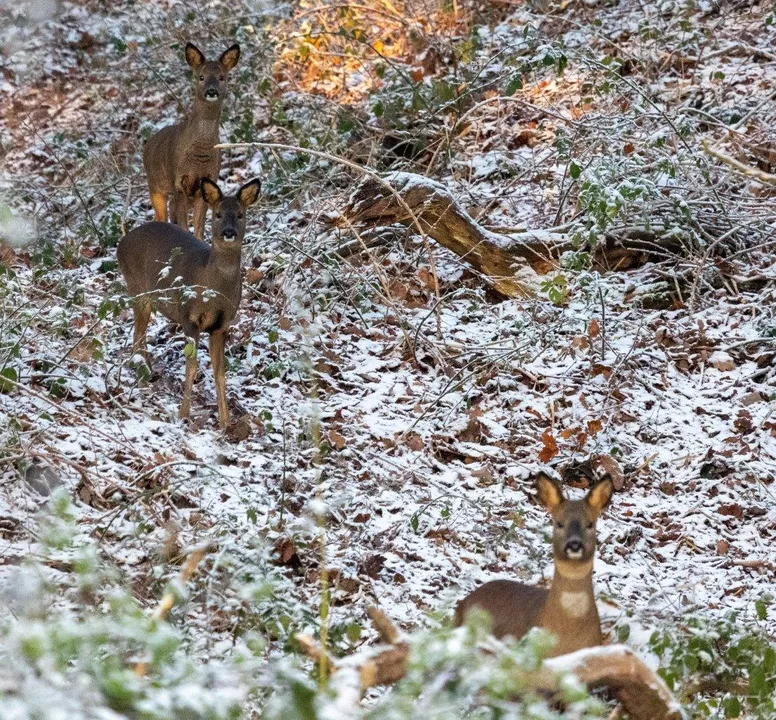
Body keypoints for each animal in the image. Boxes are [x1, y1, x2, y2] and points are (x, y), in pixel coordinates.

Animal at [117, 177, 261, 429]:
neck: (212, 290)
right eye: (218, 214)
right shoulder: (188, 317)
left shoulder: (221, 326)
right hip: (137, 288)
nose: (229, 232)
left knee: (139, 334)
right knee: (137, 335)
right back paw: (141, 381)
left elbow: (220, 372)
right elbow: (191, 366)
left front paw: (225, 422)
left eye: (240, 214)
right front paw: (183, 414)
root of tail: (121, 242)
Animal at [143, 41, 241, 240]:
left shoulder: (206, 181)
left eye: (222, 77)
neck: (200, 153)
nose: (211, 91)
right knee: (161, 216)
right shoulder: (179, 181)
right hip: (155, 186)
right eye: (200, 76)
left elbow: (198, 226)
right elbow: (183, 225)